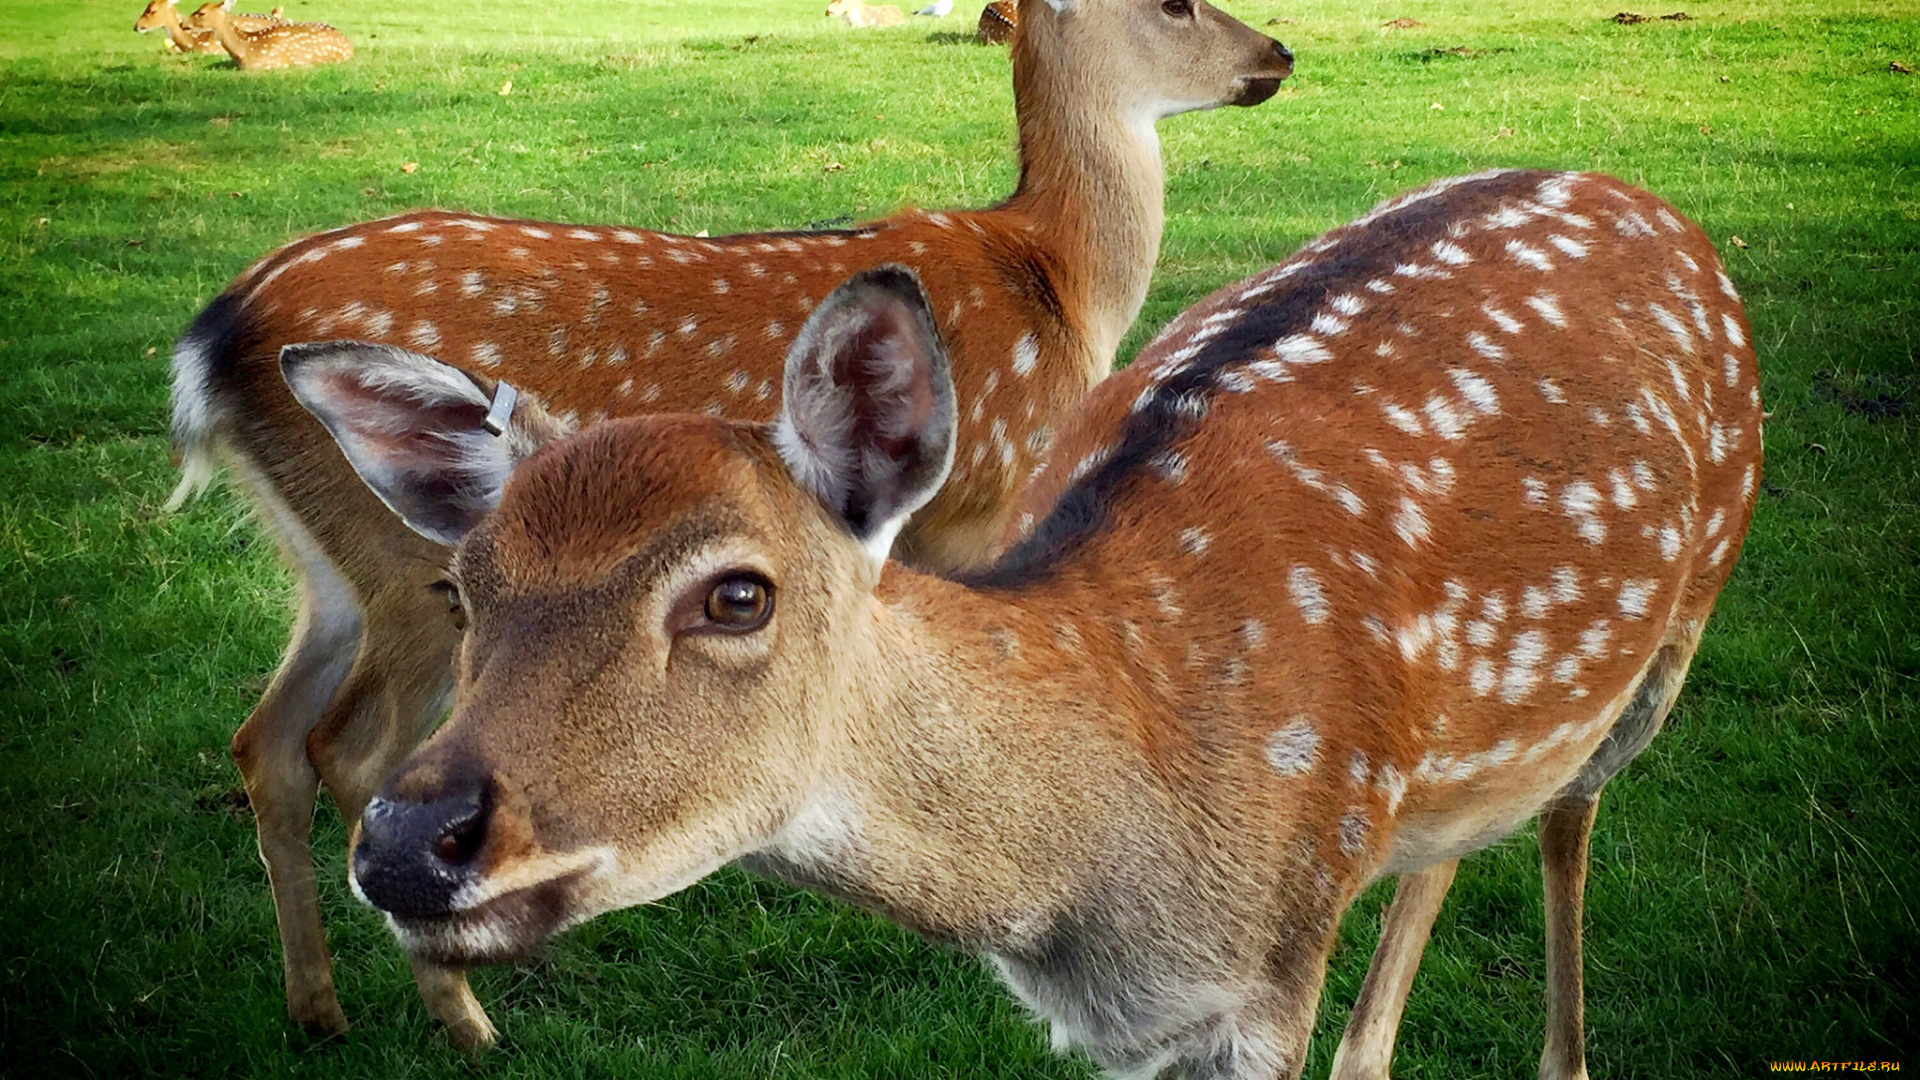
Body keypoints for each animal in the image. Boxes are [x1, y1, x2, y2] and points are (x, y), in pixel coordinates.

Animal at [284, 168, 1758, 1076]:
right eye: (463, 588)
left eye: (737, 592)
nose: (408, 845)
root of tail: (1654, 203)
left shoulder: (1272, 964)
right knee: (1465, 832)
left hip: (1684, 616)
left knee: (1573, 812)